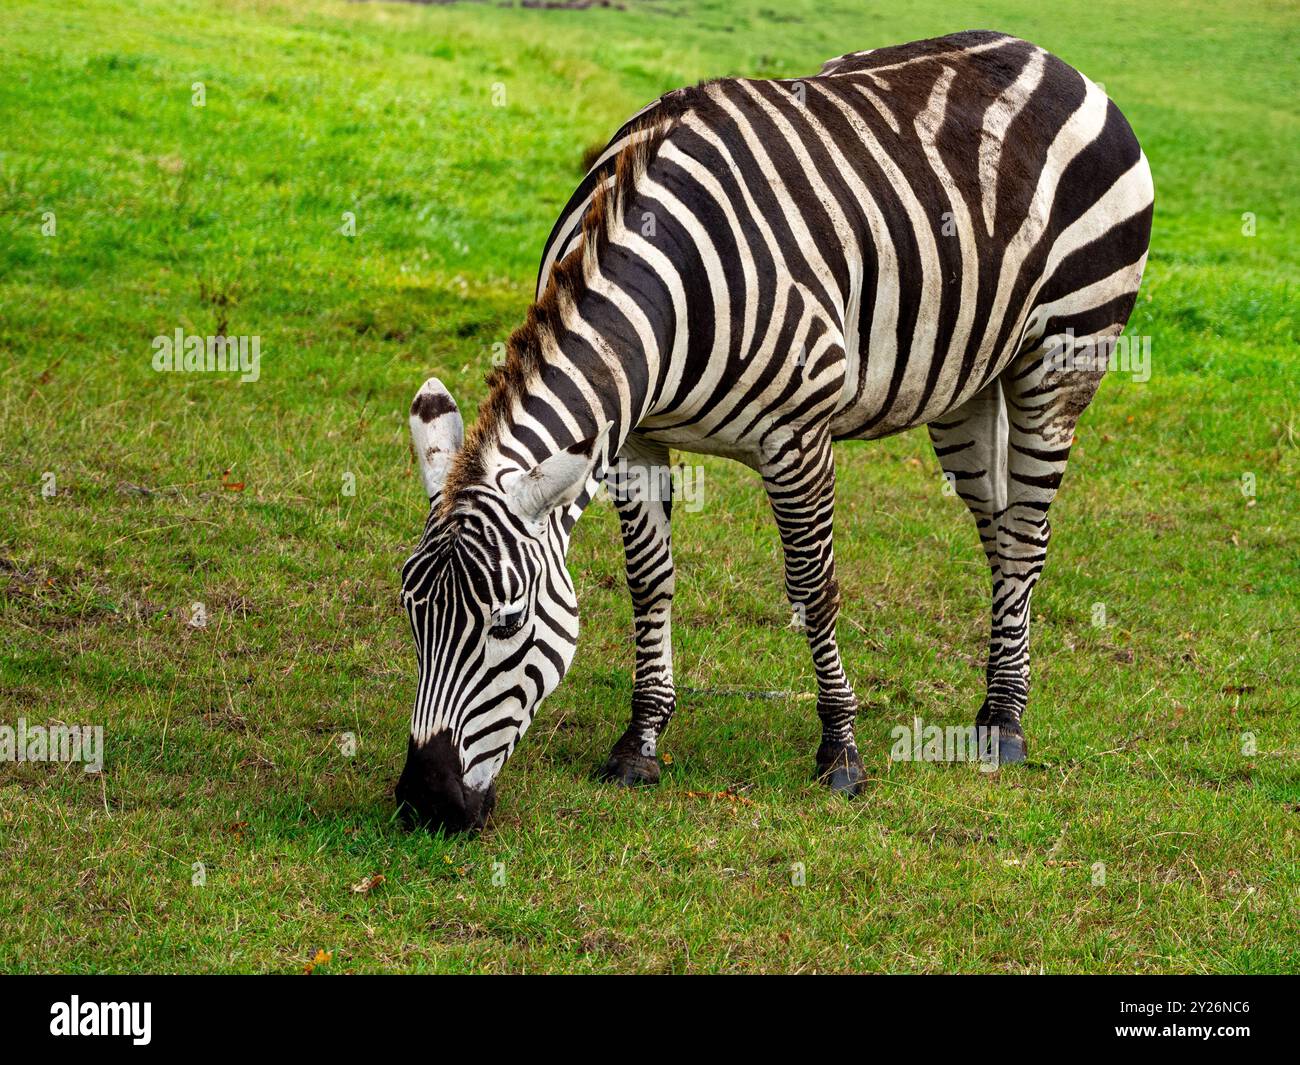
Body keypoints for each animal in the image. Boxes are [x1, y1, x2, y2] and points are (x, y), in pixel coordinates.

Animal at [396, 30, 1154, 833]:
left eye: (507, 624)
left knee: (1028, 538)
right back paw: (994, 704)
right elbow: (649, 581)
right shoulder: (635, 439)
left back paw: (1006, 724)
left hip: (1062, 361)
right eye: (410, 612)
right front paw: (642, 741)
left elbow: (814, 589)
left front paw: (841, 751)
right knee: (1001, 532)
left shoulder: (798, 439)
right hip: (965, 384)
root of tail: (1047, 55)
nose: (425, 803)